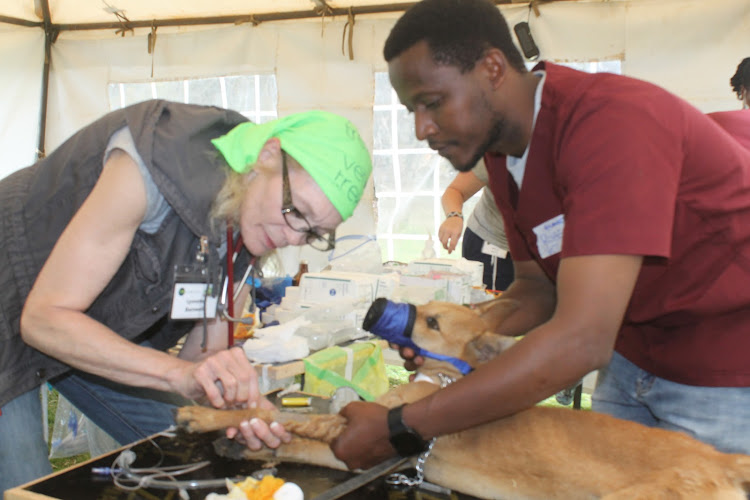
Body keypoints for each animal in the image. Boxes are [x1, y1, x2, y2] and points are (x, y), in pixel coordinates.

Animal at [175, 298, 750, 498]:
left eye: (432, 322)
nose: (377, 306)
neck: (443, 384)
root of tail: (722, 460)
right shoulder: (353, 451)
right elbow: (288, 433)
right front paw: (243, 443)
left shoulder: (357, 429)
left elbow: (272, 410)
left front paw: (205, 413)